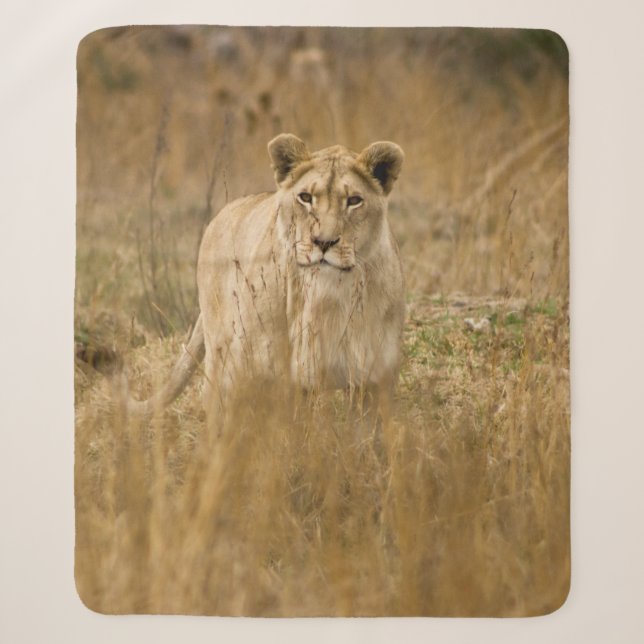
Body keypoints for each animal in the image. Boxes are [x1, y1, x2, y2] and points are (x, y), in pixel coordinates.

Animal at [131, 134, 405, 426]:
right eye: (305, 198)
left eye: (354, 200)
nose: (323, 242)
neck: (327, 298)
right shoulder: (264, 371)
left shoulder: (373, 379)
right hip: (222, 356)